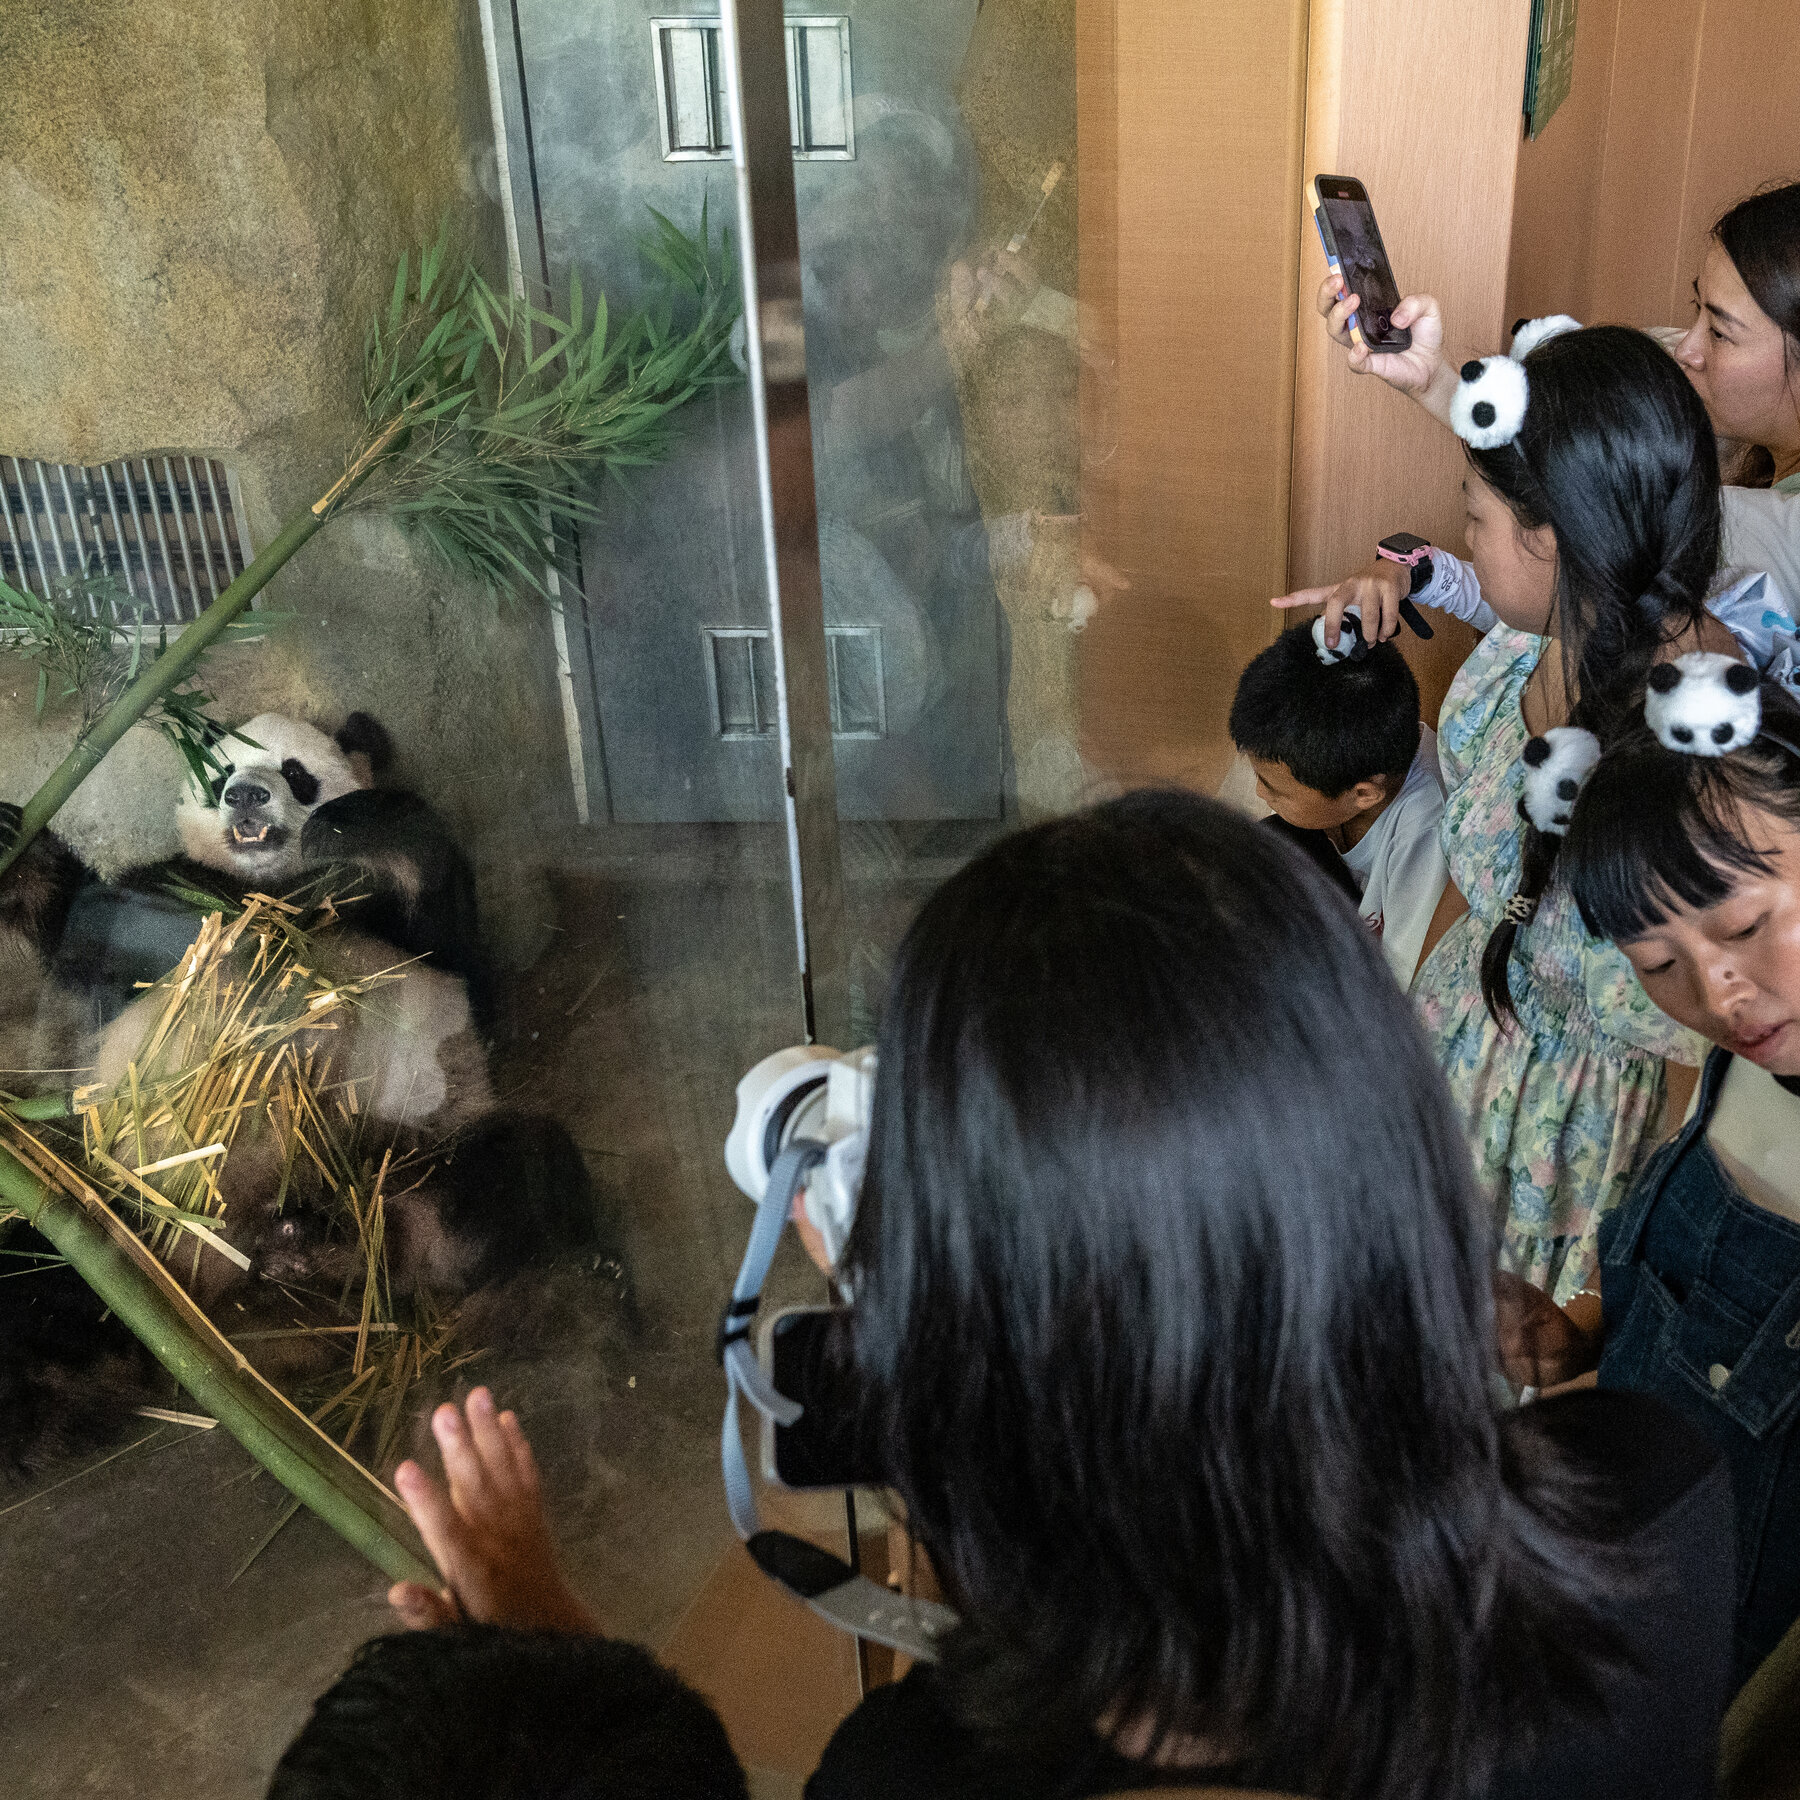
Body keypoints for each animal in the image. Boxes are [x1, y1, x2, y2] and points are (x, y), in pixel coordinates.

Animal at [0, 709, 604, 1483]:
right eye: (221, 772)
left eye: (295, 772)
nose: (246, 797)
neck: (282, 887)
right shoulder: (152, 923)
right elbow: (101, 936)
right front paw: (17, 853)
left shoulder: (412, 940)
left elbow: (454, 951)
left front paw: (352, 825)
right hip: (116, 1216)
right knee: (37, 1281)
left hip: (408, 1153)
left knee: (514, 1174)